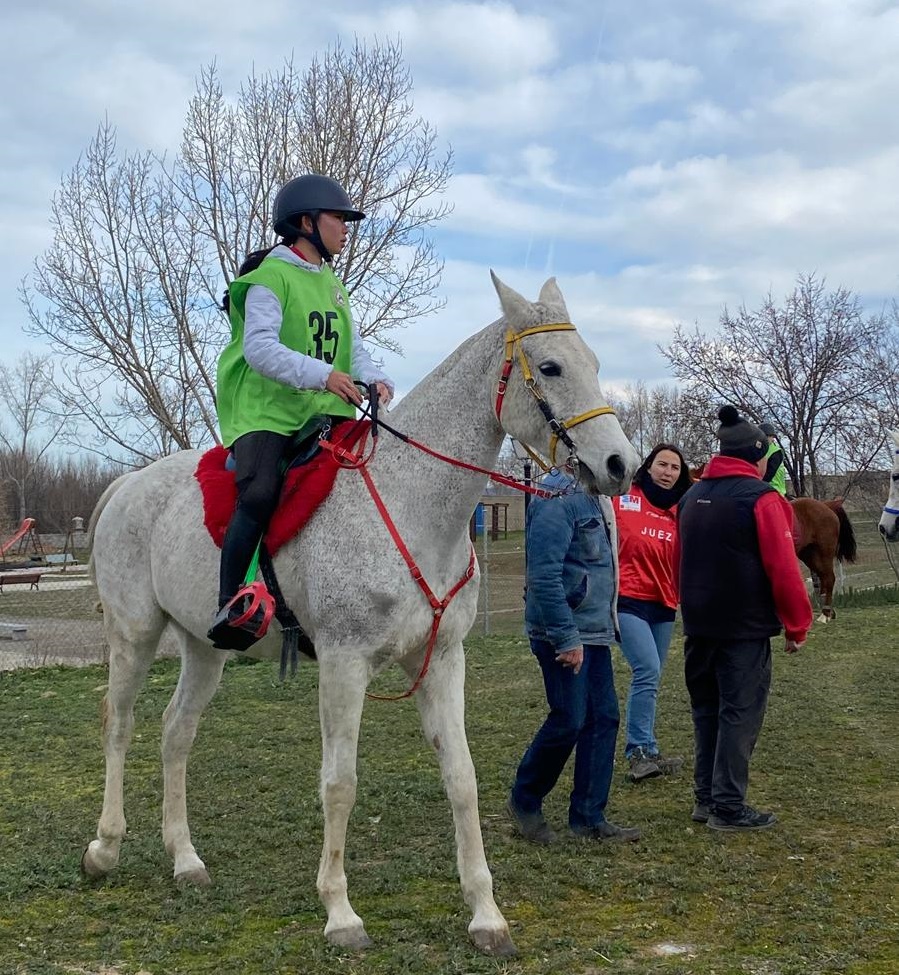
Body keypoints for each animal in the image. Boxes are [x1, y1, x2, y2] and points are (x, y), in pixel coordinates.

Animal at [79, 272, 640, 952]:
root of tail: (126, 486)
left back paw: (185, 859)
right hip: (134, 636)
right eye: (552, 367)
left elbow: (462, 777)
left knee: (174, 732)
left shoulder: (441, 661)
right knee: (119, 725)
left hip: (205, 648)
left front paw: (485, 914)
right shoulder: (343, 665)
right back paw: (104, 849)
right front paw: (340, 913)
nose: (620, 465)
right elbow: (339, 784)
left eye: (596, 363)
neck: (409, 504)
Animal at [688, 464, 856, 616]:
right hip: (809, 553)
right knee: (823, 576)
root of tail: (826, 505)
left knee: (829, 577)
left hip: (824, 550)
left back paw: (826, 613)